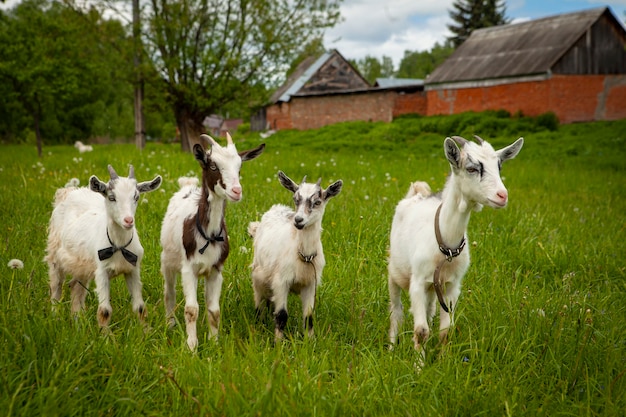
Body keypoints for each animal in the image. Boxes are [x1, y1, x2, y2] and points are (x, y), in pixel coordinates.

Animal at [44, 163, 161, 324]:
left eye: (136, 197)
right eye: (112, 197)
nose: (128, 220)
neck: (118, 246)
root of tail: (68, 191)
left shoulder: (133, 269)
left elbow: (140, 308)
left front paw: (145, 330)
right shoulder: (101, 272)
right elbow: (104, 311)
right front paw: (105, 332)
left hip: (82, 264)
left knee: (75, 286)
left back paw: (78, 319)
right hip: (55, 254)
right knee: (56, 286)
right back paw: (55, 317)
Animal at [160, 132, 264, 348]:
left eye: (239, 168)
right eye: (214, 166)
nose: (236, 191)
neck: (208, 234)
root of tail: (187, 186)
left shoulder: (216, 270)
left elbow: (214, 310)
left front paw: (214, 343)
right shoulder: (188, 269)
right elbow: (191, 309)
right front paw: (191, 346)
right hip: (167, 260)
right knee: (169, 293)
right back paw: (170, 324)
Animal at [246, 170, 342, 342]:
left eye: (317, 202)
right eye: (295, 199)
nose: (298, 220)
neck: (304, 256)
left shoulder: (310, 284)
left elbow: (308, 316)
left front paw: (309, 341)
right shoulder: (281, 282)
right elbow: (282, 315)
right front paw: (278, 343)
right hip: (258, 274)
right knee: (259, 299)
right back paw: (259, 323)